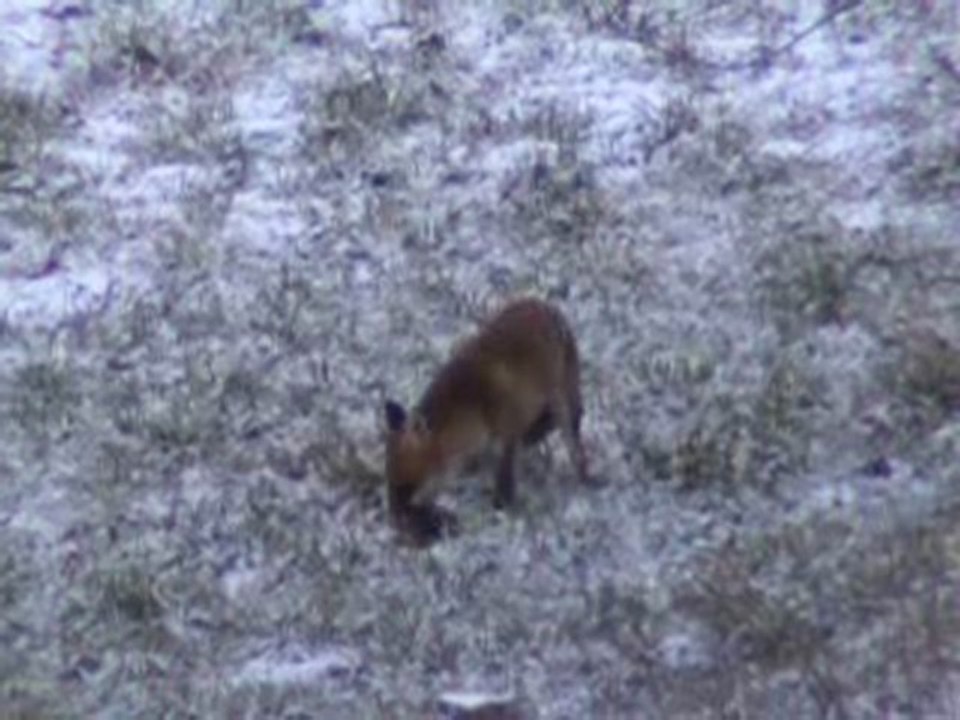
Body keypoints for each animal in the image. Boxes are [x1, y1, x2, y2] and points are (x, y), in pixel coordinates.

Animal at [383, 297, 590, 539]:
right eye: (389, 484)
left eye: (407, 488)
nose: (394, 521)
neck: (473, 406)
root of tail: (543, 304)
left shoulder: (507, 434)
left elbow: (505, 479)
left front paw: (502, 508)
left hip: (562, 398)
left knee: (570, 433)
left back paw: (584, 474)